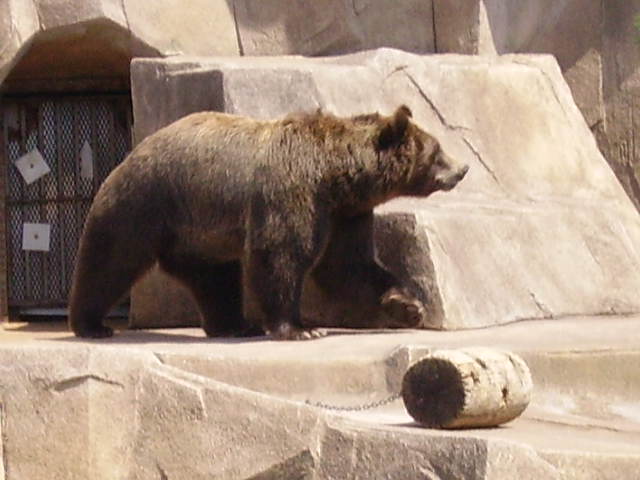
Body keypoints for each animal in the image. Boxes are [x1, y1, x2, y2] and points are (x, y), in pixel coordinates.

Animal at [68, 105, 468, 340]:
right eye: (436, 150)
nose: (462, 168)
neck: (336, 176)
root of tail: (129, 152)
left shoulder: (345, 214)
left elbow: (348, 265)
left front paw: (408, 305)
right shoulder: (292, 192)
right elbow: (281, 255)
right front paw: (301, 328)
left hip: (200, 234)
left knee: (214, 279)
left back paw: (233, 325)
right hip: (147, 204)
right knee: (111, 260)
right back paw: (91, 324)